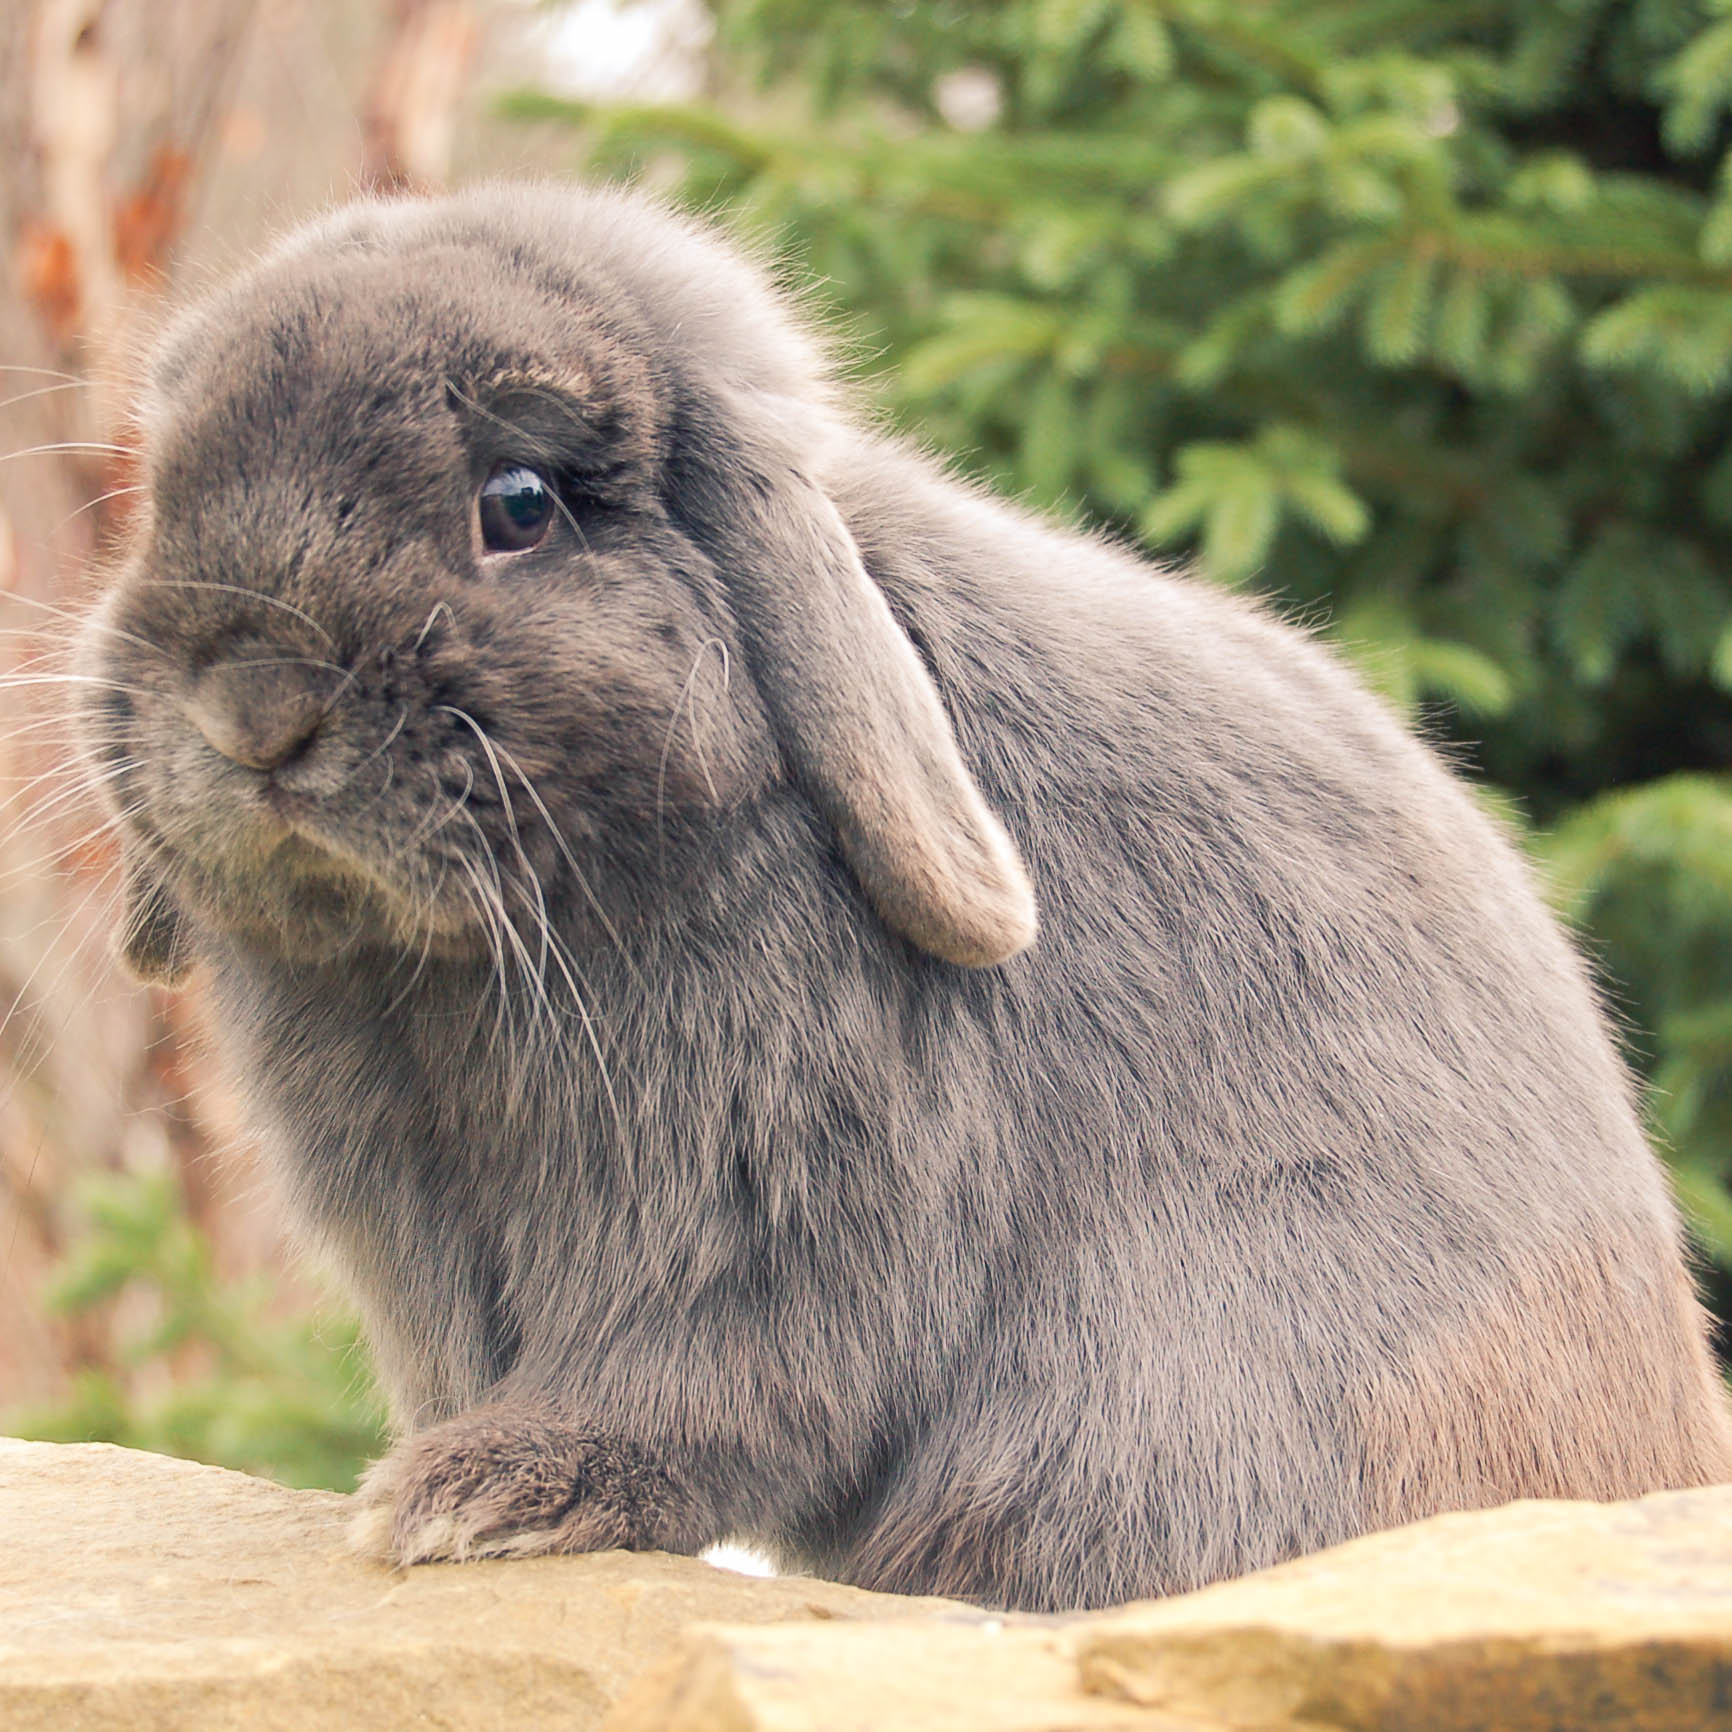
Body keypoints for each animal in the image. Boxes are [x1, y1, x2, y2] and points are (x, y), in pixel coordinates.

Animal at [77, 180, 1732, 1614]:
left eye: (520, 500)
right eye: (163, 493)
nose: (255, 709)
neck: (441, 969)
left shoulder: (777, 1198)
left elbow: (709, 1381)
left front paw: (470, 1497)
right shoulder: (418, 1231)